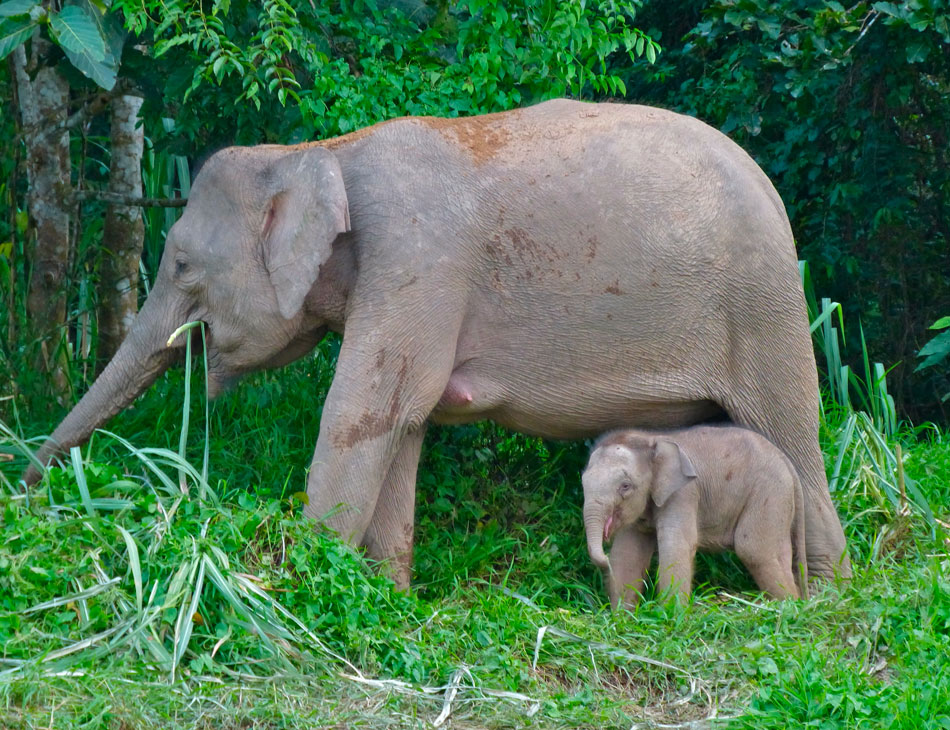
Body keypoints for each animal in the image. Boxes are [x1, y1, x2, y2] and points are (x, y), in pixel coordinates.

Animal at [26, 99, 852, 584]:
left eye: (180, 265)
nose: (28, 490)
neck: (320, 149)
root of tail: (772, 187)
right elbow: (406, 424)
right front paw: (386, 597)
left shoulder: (416, 259)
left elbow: (362, 413)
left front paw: (294, 588)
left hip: (764, 307)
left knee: (792, 431)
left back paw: (825, 604)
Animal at [584, 424, 808, 604]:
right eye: (583, 482)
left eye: (625, 486)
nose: (603, 557)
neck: (650, 439)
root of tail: (787, 462)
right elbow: (627, 553)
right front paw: (622, 617)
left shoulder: (684, 493)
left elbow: (676, 546)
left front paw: (672, 617)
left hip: (769, 493)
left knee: (754, 550)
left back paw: (790, 606)